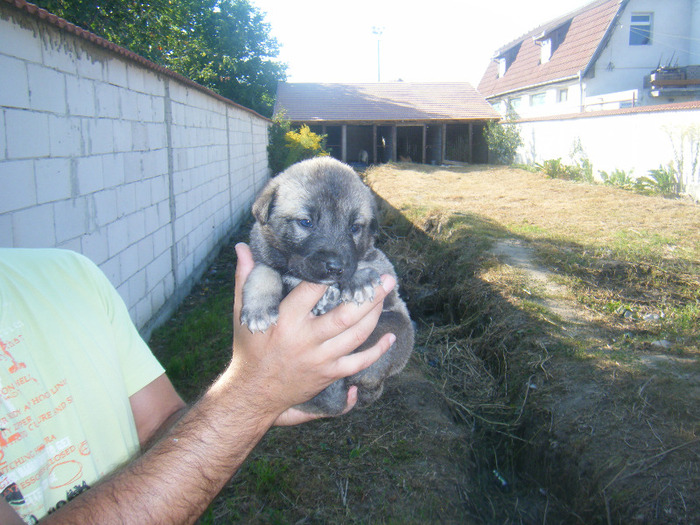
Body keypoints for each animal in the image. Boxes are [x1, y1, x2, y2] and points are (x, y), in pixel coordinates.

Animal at [242, 156, 412, 414]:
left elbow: (365, 261)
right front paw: (258, 309)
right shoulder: (262, 254)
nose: (334, 268)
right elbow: (264, 272)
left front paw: (357, 280)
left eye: (354, 227)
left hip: (395, 328)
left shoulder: (379, 261)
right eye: (306, 222)